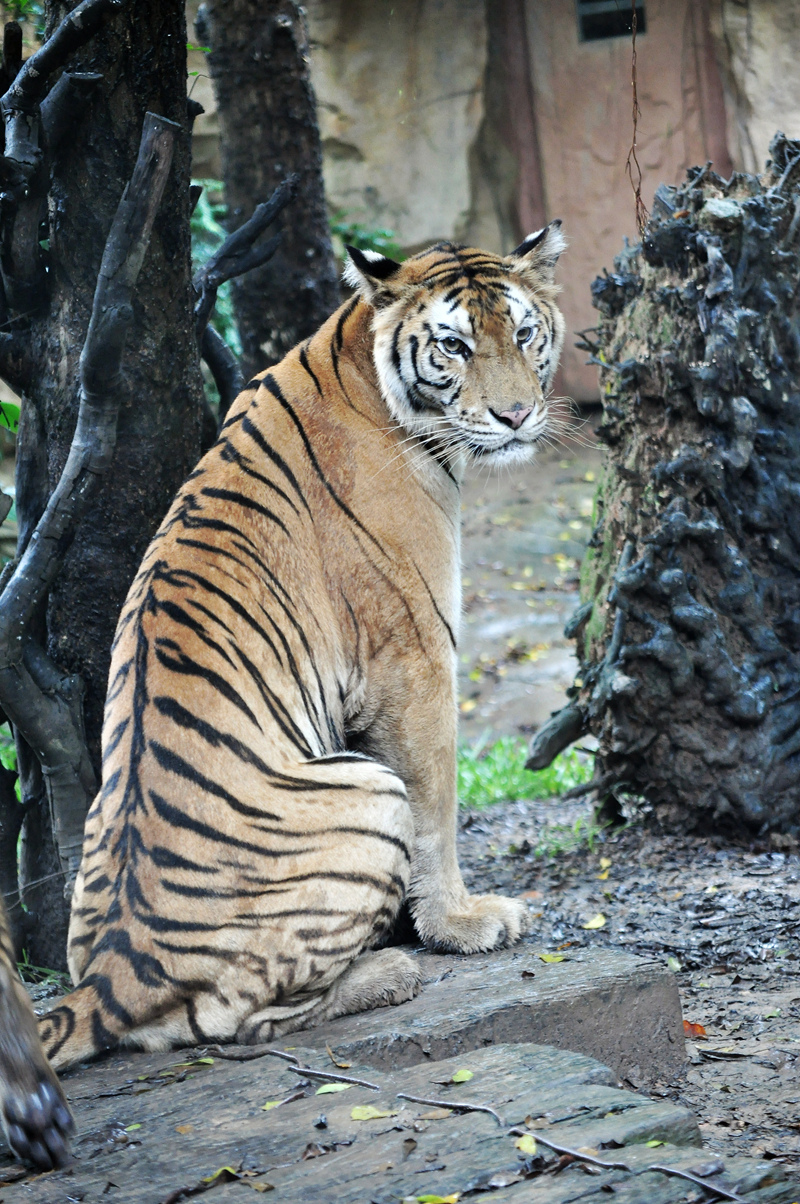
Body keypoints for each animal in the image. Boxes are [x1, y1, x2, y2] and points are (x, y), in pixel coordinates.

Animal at [39, 221, 568, 1069]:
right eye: (454, 346)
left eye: (522, 333)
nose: (518, 416)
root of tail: (105, 980)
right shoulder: (416, 659)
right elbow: (438, 810)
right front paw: (460, 925)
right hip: (363, 791)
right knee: (236, 1019)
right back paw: (385, 975)